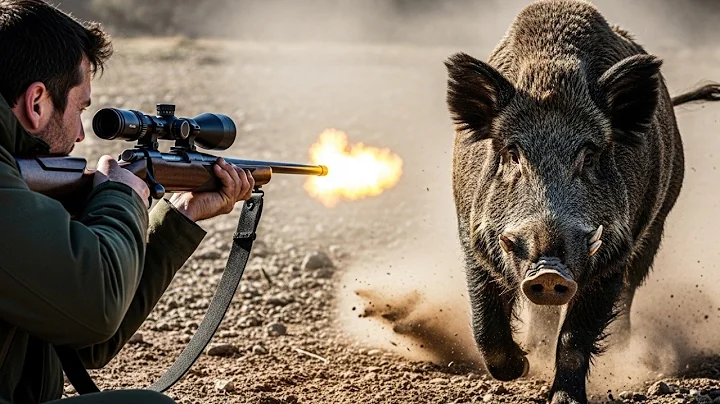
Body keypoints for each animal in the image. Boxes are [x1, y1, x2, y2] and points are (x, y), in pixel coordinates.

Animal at [444, 0, 720, 403]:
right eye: (513, 153)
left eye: (589, 156)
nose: (548, 271)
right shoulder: (472, 238)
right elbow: (486, 325)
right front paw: (522, 367)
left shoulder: (614, 249)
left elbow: (576, 338)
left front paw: (564, 397)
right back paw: (537, 351)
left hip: (656, 225)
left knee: (627, 295)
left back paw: (623, 353)